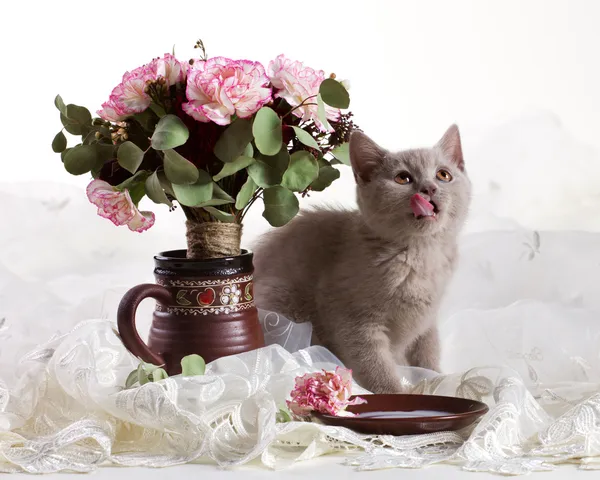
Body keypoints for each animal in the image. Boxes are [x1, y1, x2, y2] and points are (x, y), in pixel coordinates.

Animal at [251, 124, 472, 394]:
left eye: (443, 175)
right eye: (403, 178)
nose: (429, 188)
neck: (421, 255)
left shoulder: (427, 319)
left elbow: (427, 352)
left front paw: (437, 380)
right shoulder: (354, 320)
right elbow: (374, 364)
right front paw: (398, 395)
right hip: (282, 300)